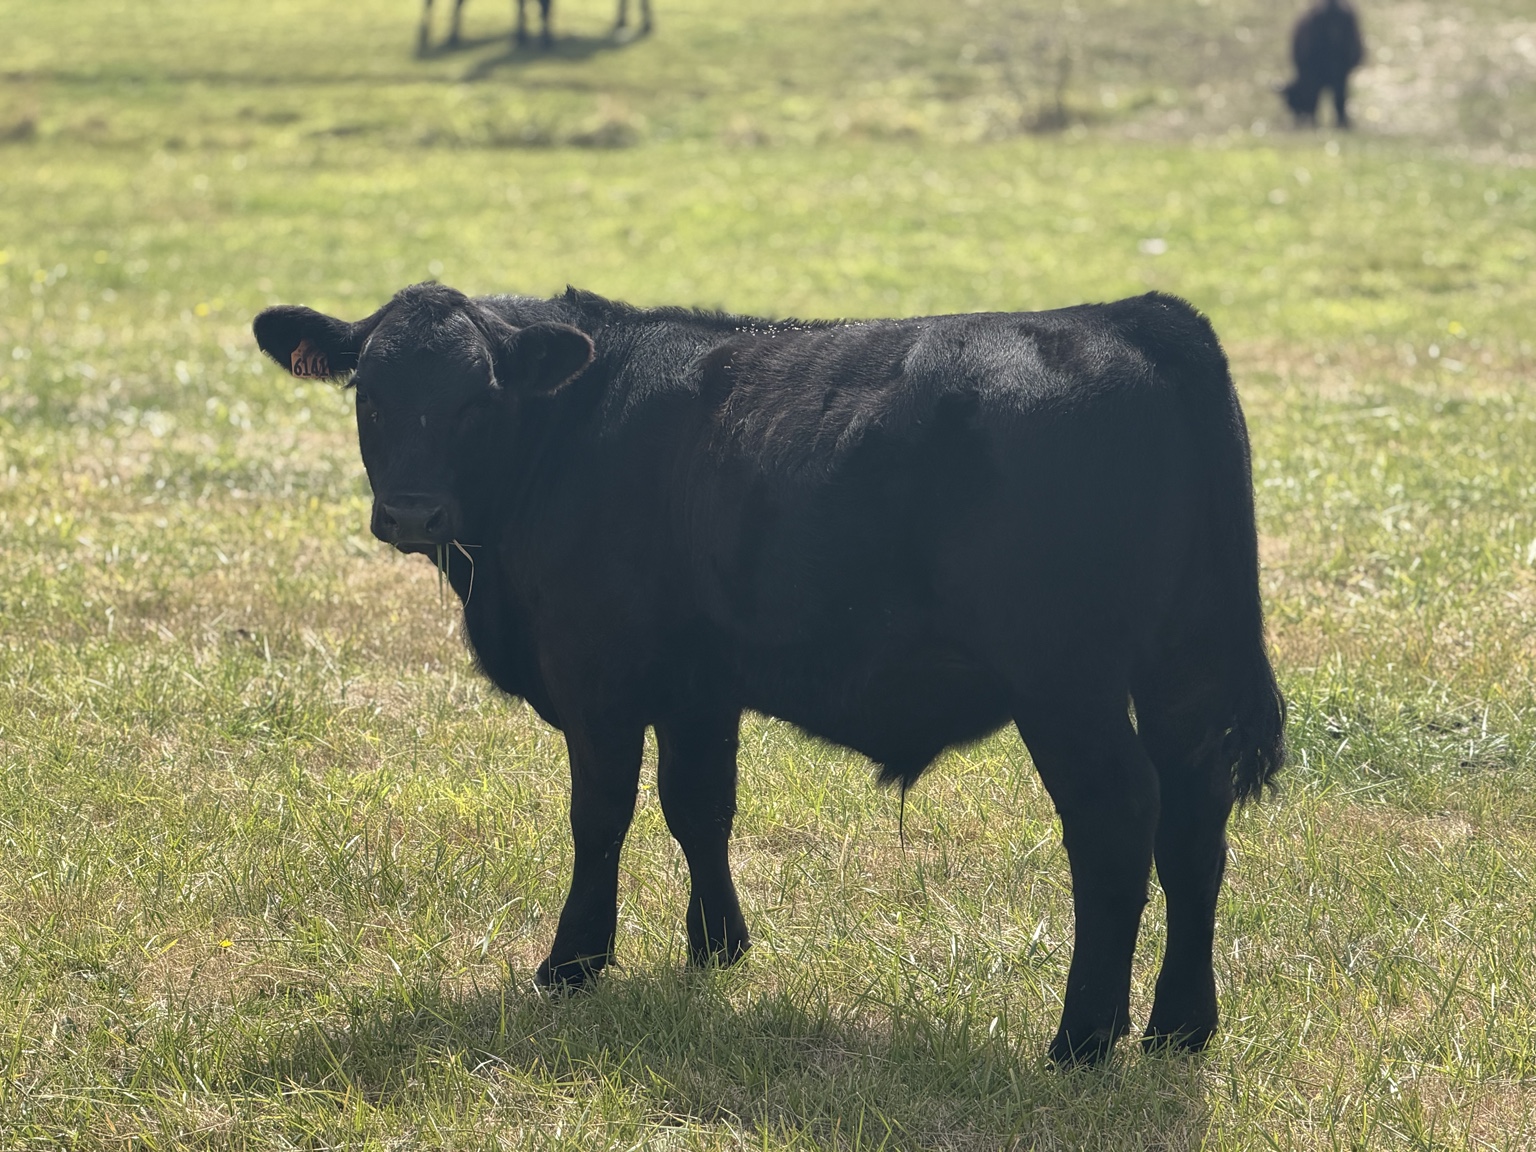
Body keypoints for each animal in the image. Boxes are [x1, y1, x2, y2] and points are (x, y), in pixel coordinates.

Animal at [253, 284, 1285, 1066]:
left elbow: (602, 815)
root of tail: (1131, 315)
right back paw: (1180, 1029)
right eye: (370, 394)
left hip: (1066, 681)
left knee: (1118, 820)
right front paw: (718, 948)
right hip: (1183, 672)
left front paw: (572, 963)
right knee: (1196, 826)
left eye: (478, 396)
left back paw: (1082, 1040)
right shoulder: (700, 682)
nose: (411, 512)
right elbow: (699, 806)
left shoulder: (597, 674)